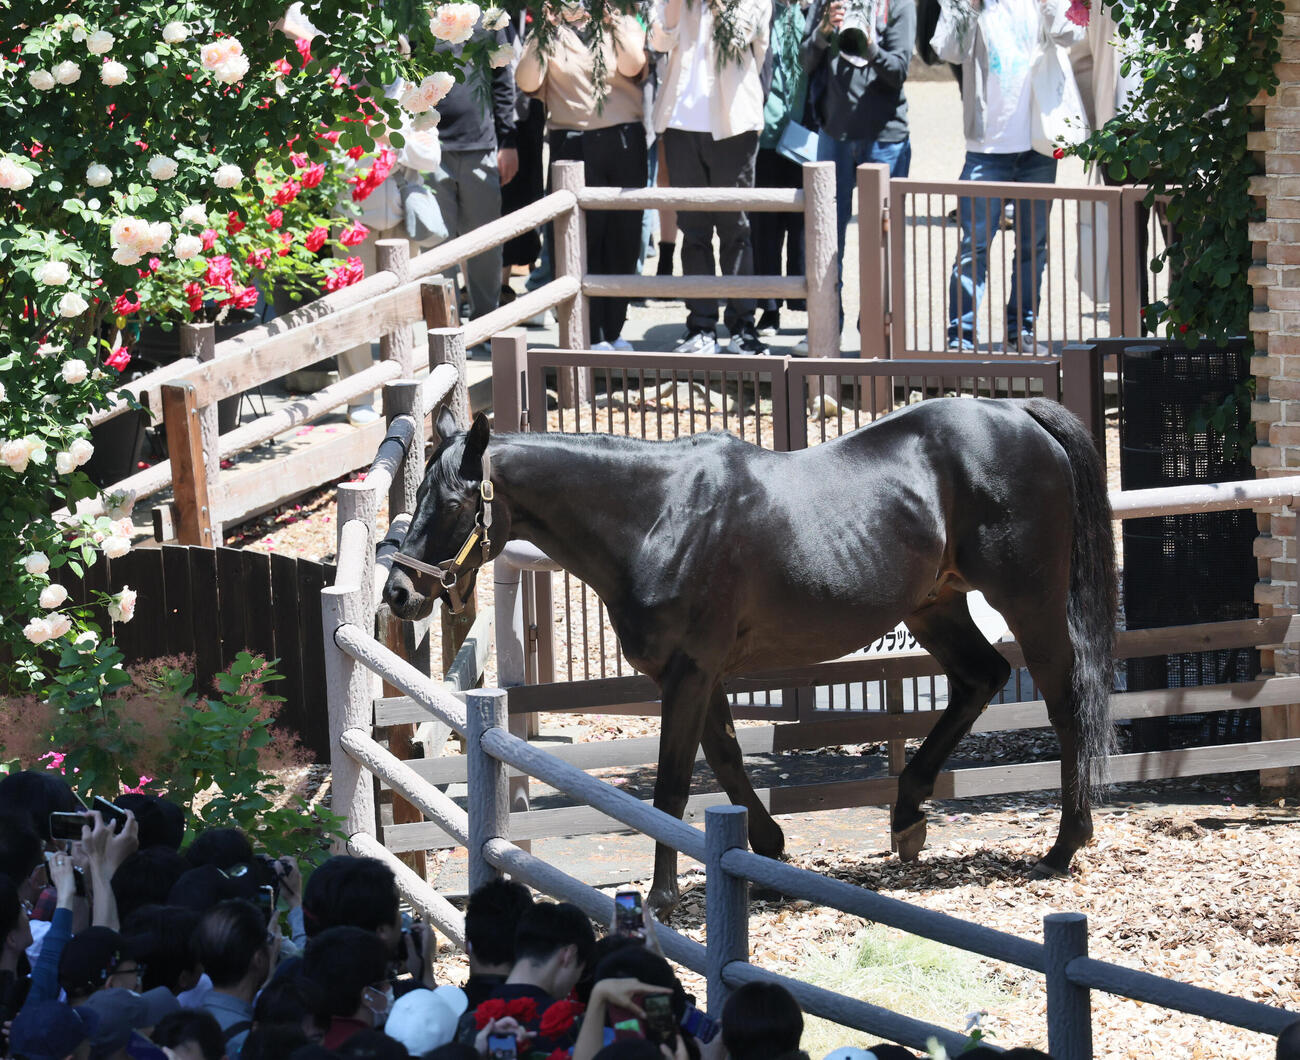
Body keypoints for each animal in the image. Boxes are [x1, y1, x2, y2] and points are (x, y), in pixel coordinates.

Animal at [383, 397, 1116, 914]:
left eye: (452, 503)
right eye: (415, 495)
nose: (398, 592)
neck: (657, 517)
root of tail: (1019, 416)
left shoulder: (688, 672)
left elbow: (674, 782)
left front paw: (663, 896)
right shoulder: (699, 674)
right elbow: (729, 760)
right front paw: (770, 855)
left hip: (1028, 600)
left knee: (1066, 702)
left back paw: (1063, 846)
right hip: (935, 605)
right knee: (980, 679)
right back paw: (908, 817)